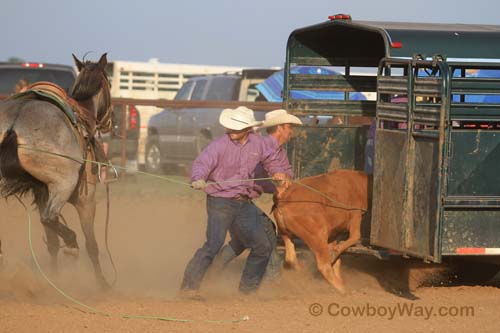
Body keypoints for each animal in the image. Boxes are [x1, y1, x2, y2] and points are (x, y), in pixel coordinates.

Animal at [0, 53, 112, 286]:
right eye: (110, 83)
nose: (110, 121)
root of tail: (14, 124)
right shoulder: (86, 199)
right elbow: (92, 245)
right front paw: (102, 284)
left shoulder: (41, 192)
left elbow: (51, 243)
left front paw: (53, 276)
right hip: (64, 183)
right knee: (50, 218)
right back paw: (71, 242)